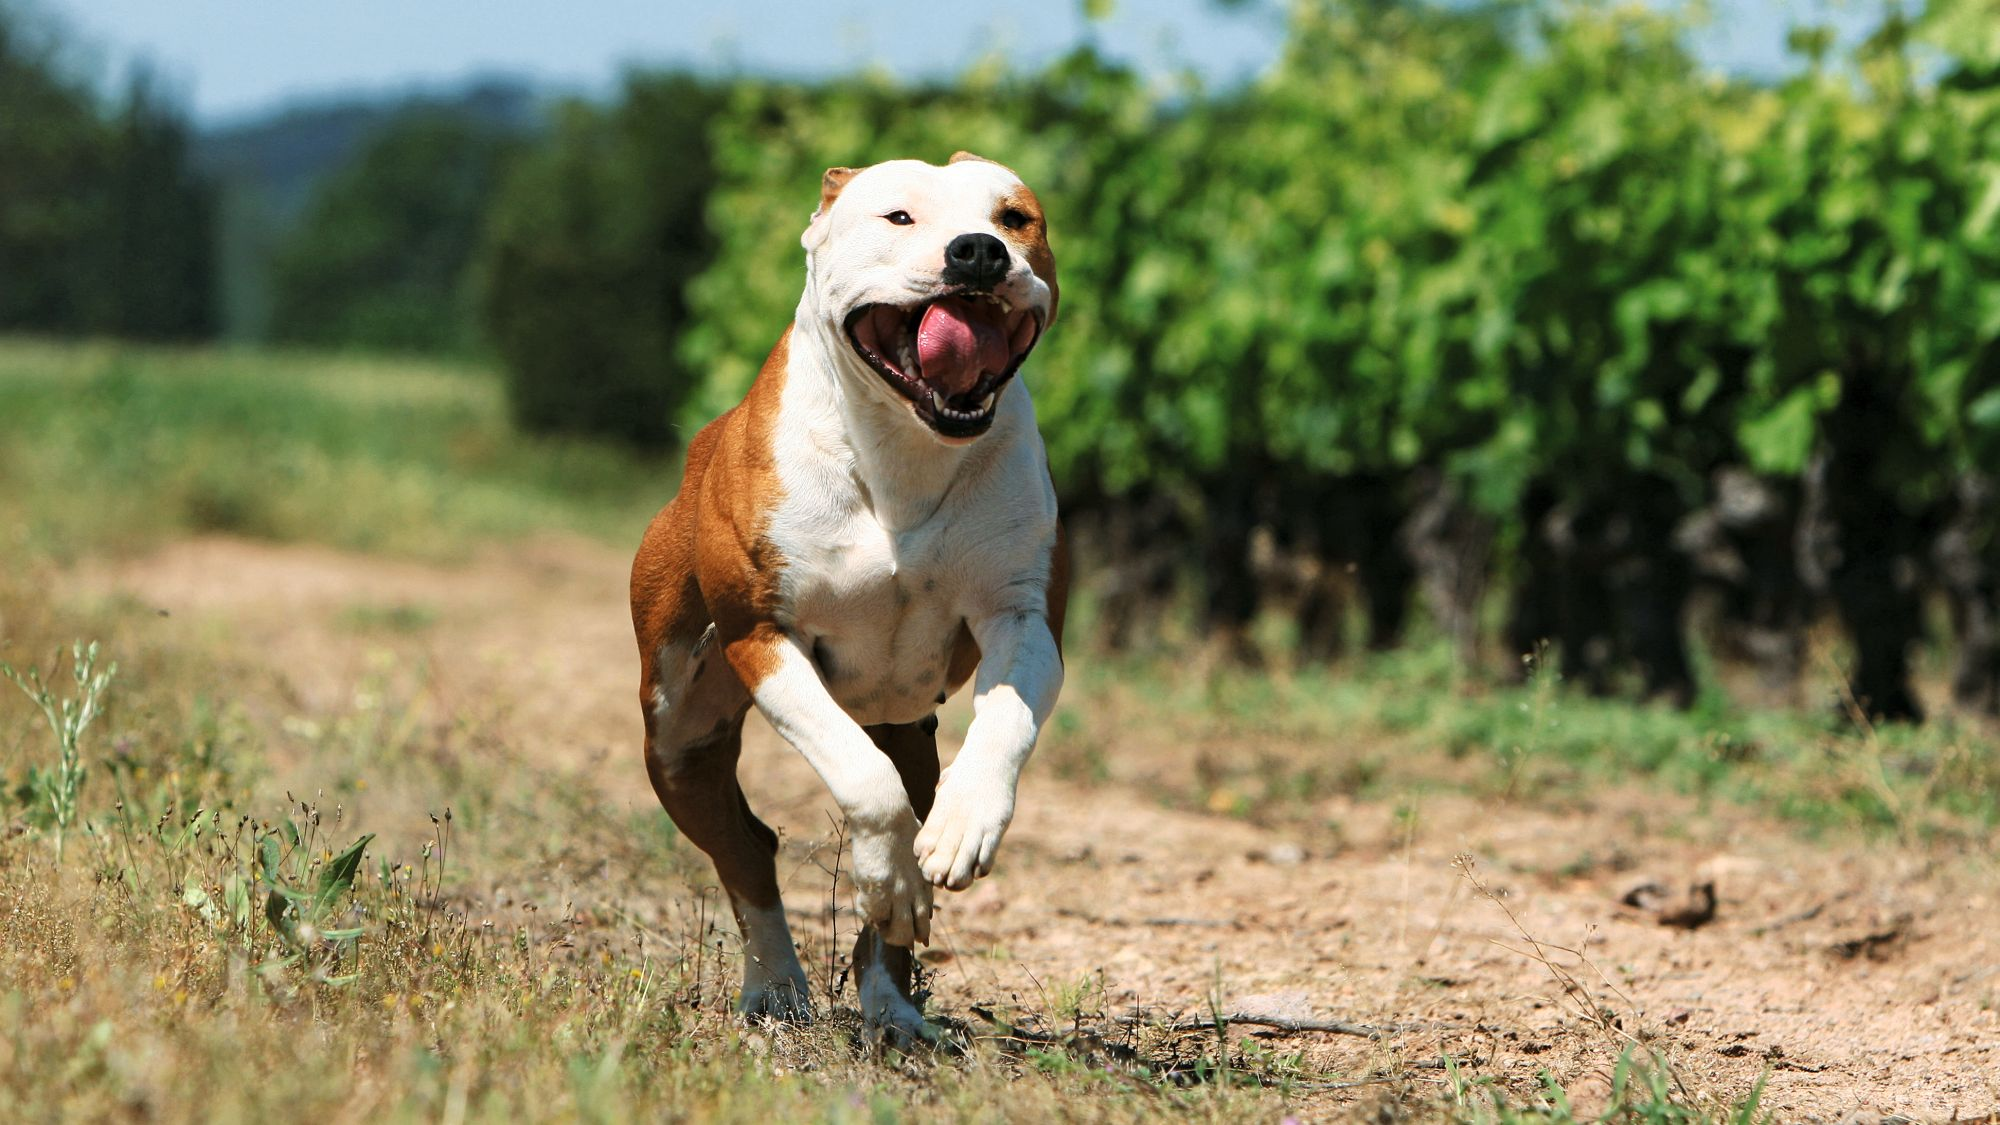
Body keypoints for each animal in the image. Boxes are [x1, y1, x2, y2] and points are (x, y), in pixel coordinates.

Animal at [632, 151, 1072, 1040]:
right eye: (898, 216)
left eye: (1014, 218)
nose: (977, 252)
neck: (905, 446)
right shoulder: (762, 635)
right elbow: (860, 780)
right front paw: (893, 873)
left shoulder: (1022, 615)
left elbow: (1003, 721)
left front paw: (963, 828)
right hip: (678, 732)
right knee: (746, 846)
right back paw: (776, 987)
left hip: (907, 728)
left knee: (890, 826)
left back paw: (892, 1005)